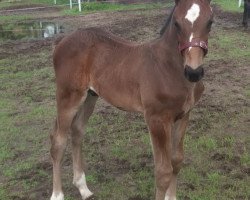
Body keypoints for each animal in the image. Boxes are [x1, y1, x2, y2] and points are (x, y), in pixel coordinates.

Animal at [50, 0, 213, 199]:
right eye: (176, 23)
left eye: (210, 22)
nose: (194, 72)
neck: (168, 67)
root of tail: (62, 41)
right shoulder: (156, 119)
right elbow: (163, 172)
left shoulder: (183, 115)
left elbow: (176, 162)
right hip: (68, 96)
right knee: (58, 141)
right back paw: (57, 194)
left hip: (90, 96)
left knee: (77, 131)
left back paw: (83, 187)